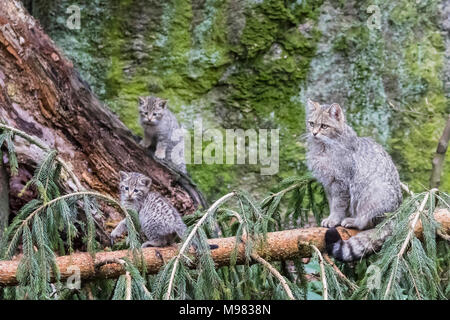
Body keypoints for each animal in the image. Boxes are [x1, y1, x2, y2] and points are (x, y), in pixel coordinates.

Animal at [304, 99, 402, 262]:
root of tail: (396, 213)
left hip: (371, 192)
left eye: (324, 126)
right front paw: (331, 217)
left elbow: (338, 205)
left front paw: (334, 219)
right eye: (311, 123)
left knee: (366, 222)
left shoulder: (341, 183)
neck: (324, 147)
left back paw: (353, 220)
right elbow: (332, 203)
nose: (314, 133)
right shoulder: (328, 184)